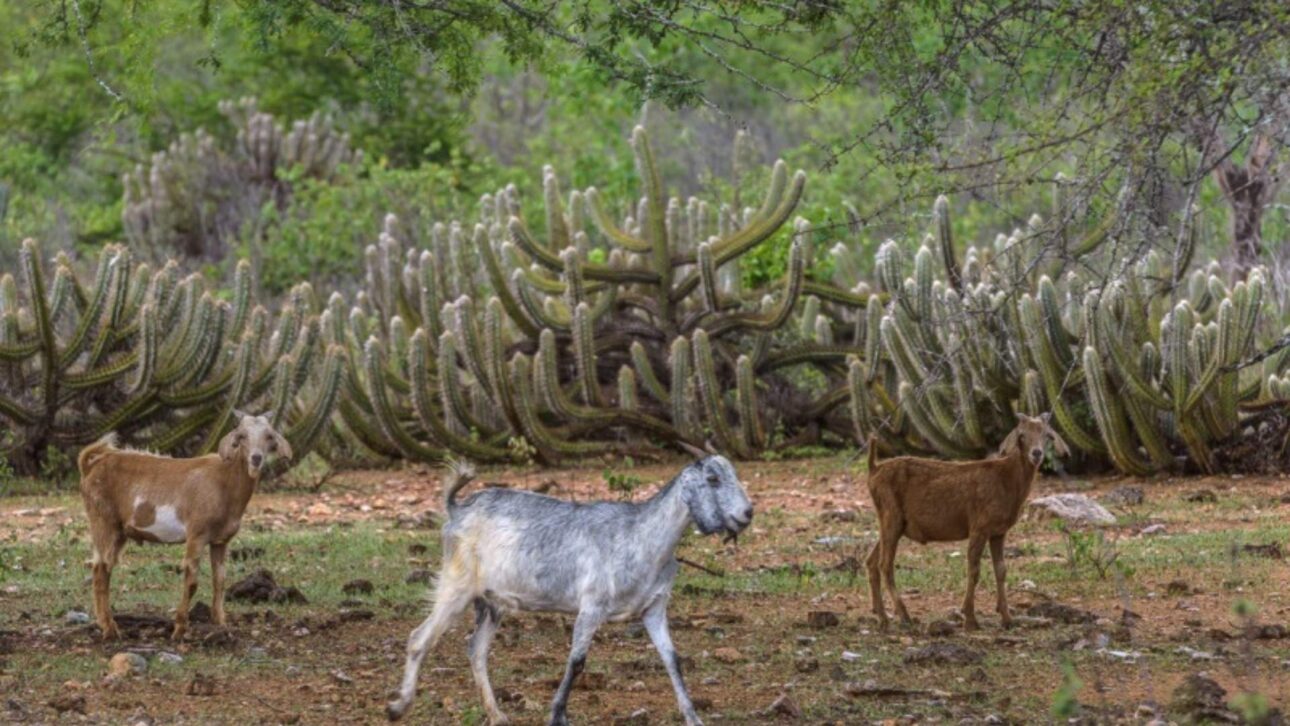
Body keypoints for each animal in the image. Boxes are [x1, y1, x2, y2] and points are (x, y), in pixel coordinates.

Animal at [77, 413, 292, 641]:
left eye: (269, 436)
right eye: (241, 436)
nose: (256, 458)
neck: (225, 481)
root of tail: (91, 465)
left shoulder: (220, 540)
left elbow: (220, 580)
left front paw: (221, 624)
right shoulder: (196, 535)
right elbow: (192, 581)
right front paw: (179, 629)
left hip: (118, 531)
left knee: (105, 568)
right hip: (103, 521)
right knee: (100, 569)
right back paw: (109, 629)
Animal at [386, 446, 754, 726]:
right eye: (712, 479)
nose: (748, 513)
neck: (642, 536)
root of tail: (457, 509)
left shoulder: (654, 607)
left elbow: (672, 659)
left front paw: (694, 717)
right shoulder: (592, 605)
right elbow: (577, 661)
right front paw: (557, 715)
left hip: (492, 602)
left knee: (476, 648)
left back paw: (497, 715)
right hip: (457, 583)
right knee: (419, 637)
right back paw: (398, 707)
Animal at [865, 413, 1069, 631]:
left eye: (1046, 434)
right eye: (1022, 434)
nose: (1036, 454)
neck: (1007, 481)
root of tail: (873, 470)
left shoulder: (998, 532)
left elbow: (1001, 570)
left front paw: (1007, 619)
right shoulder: (979, 526)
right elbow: (974, 569)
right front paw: (970, 618)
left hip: (891, 523)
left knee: (871, 561)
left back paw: (882, 616)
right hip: (891, 516)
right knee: (885, 564)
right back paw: (904, 616)